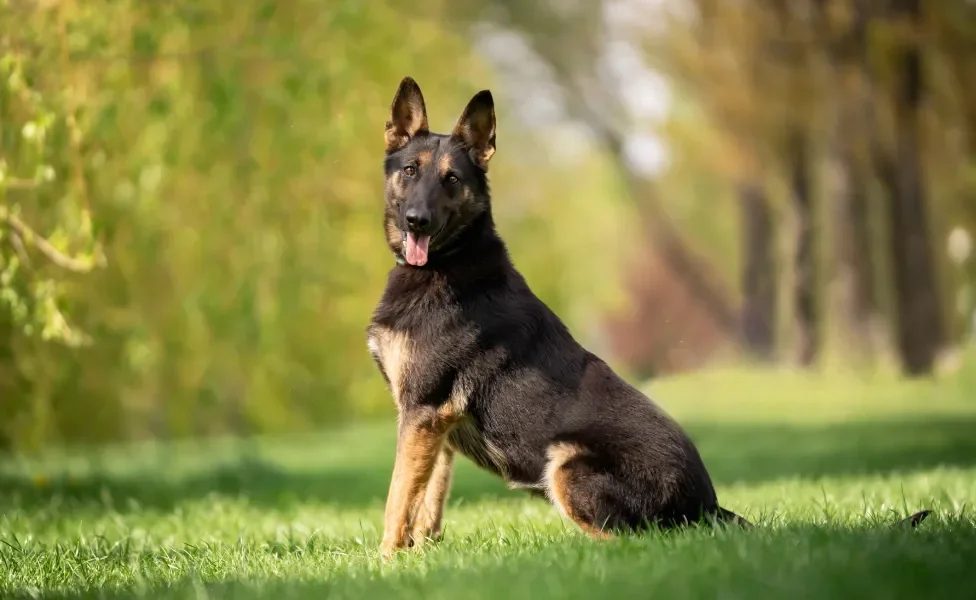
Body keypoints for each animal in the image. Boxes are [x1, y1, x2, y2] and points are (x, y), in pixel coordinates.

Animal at [366, 76, 932, 556]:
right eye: (411, 171)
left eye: (452, 179)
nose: (417, 221)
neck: (449, 261)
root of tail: (708, 506)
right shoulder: (436, 425)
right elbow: (426, 502)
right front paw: (419, 557)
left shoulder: (421, 413)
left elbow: (397, 497)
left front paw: (386, 561)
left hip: (567, 463)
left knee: (632, 543)